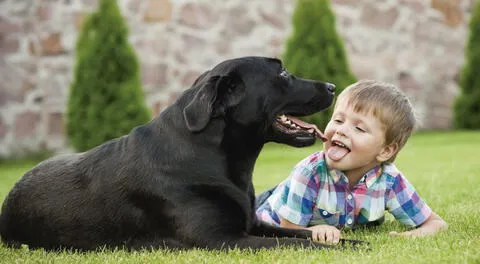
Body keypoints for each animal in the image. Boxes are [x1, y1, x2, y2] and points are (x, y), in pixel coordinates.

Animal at [0, 55, 360, 250]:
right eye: (283, 73)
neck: (220, 159)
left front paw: (352, 242)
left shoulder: (252, 224)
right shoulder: (223, 239)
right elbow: (299, 242)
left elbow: (302, 233)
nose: (332, 86)